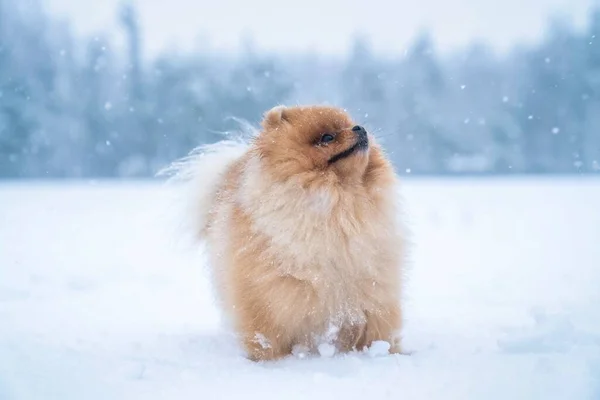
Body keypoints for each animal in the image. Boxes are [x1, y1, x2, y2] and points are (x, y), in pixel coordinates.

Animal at [164, 104, 406, 360]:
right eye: (327, 137)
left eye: (351, 124)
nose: (359, 128)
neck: (338, 201)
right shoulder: (266, 293)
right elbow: (267, 333)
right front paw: (269, 360)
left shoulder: (373, 286)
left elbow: (376, 327)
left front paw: (382, 351)